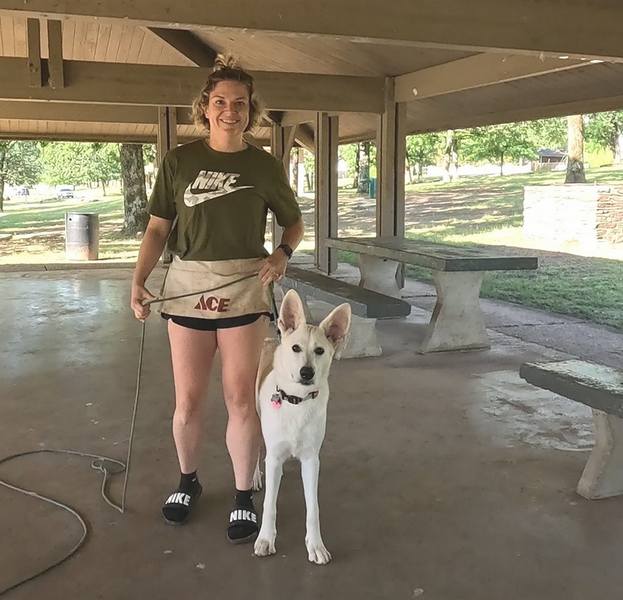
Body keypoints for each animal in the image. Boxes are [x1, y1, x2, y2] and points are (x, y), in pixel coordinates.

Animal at [253, 289, 351, 564]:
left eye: (320, 350)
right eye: (296, 348)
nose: (306, 372)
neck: (297, 401)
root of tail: (271, 339)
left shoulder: (311, 460)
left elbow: (313, 508)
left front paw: (315, 545)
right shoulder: (274, 455)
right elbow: (269, 504)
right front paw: (265, 539)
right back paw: (255, 476)